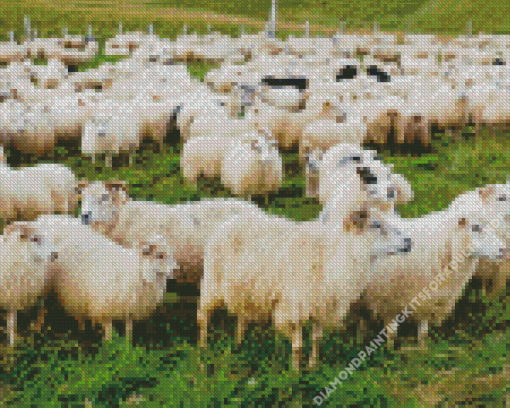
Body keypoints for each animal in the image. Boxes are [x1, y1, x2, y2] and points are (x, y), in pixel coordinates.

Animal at [30, 214, 177, 342]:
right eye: (160, 255)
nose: (176, 269)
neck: (135, 270)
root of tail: (45, 218)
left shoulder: (130, 307)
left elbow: (129, 330)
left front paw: (127, 348)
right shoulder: (105, 305)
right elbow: (109, 330)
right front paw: (109, 347)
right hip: (46, 281)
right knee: (42, 305)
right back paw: (38, 327)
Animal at [197, 203, 412, 370]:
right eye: (376, 224)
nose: (409, 241)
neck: (334, 257)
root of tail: (230, 222)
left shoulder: (321, 305)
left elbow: (317, 338)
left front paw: (312, 366)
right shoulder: (293, 308)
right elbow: (298, 345)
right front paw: (295, 373)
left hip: (243, 287)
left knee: (241, 315)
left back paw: (239, 344)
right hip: (212, 283)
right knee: (203, 314)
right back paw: (203, 348)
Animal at [362, 202, 506, 350]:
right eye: (476, 227)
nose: (503, 249)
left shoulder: (429, 299)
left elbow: (423, 333)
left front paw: (423, 351)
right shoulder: (386, 300)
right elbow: (391, 333)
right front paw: (390, 352)